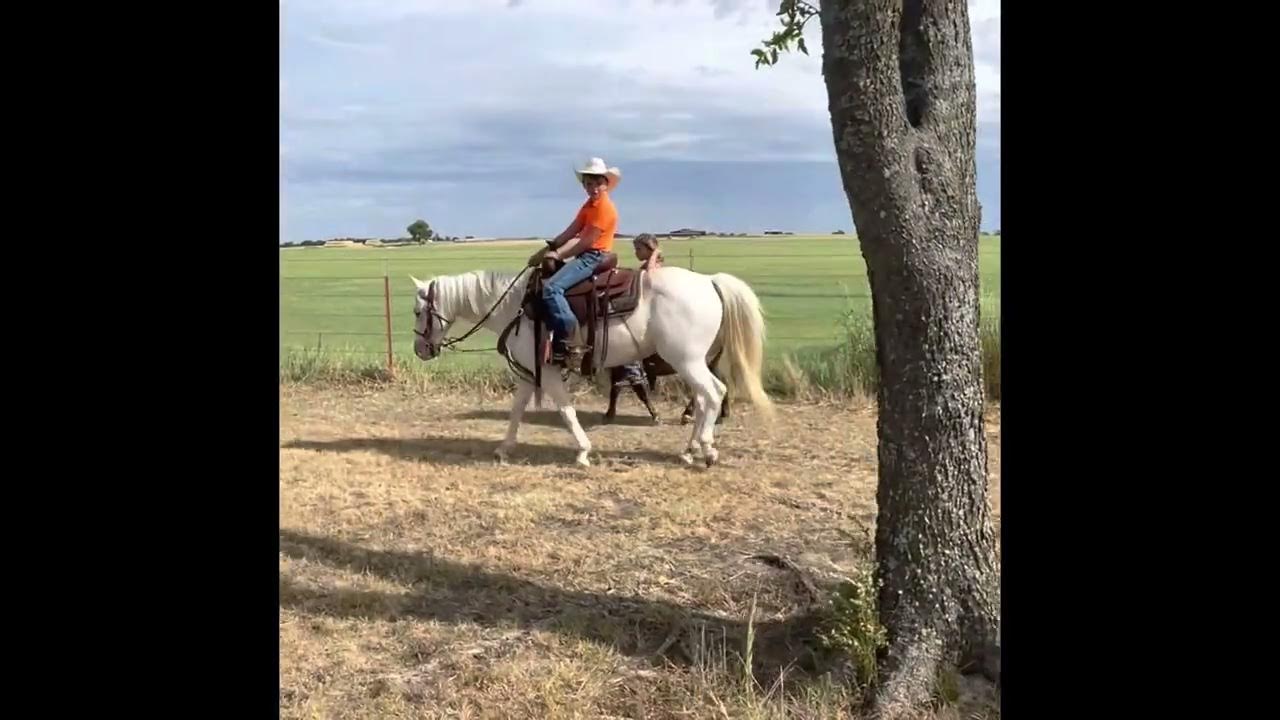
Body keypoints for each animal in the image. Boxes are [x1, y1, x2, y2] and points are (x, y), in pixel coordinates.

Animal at [409, 260, 772, 467]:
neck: (519, 307)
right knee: (702, 399)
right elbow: (516, 410)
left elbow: (567, 412)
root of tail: (709, 281)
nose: (420, 349)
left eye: (417, 311)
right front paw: (503, 449)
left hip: (687, 360)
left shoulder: (549, 374)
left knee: (713, 394)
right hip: (691, 363)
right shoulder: (530, 374)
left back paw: (707, 450)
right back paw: (690, 449)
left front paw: (583, 452)